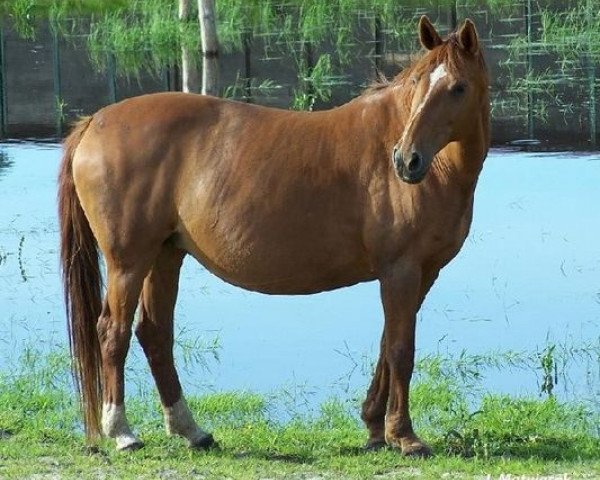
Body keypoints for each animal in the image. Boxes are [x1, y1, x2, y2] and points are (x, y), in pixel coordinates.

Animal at [57, 16, 488, 456]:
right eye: (417, 82)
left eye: (458, 88)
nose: (406, 160)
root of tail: (94, 123)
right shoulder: (400, 270)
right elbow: (401, 350)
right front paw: (404, 436)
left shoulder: (422, 273)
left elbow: (387, 346)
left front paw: (373, 427)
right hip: (128, 262)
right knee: (113, 332)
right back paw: (122, 432)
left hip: (165, 255)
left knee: (154, 334)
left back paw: (192, 431)